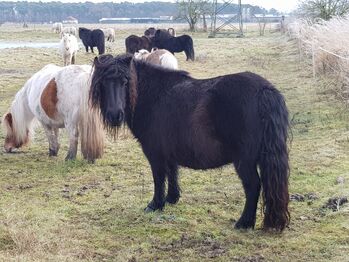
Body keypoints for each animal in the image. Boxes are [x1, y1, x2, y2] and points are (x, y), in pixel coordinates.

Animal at [89, 53, 288, 231]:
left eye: (125, 82)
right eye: (103, 83)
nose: (115, 115)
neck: (154, 96)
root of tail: (264, 90)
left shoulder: (155, 153)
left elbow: (159, 178)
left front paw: (155, 204)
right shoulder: (169, 152)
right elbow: (172, 173)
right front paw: (171, 198)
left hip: (244, 161)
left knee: (253, 186)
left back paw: (244, 223)